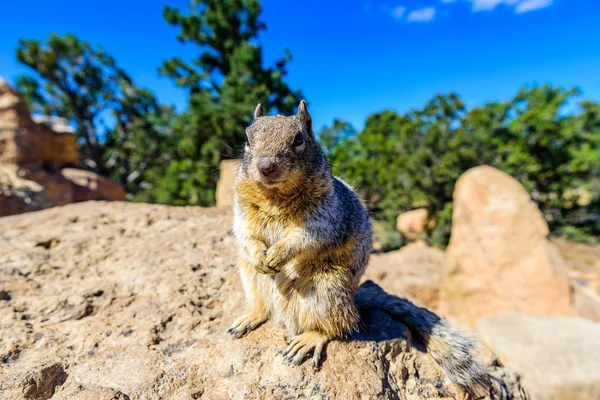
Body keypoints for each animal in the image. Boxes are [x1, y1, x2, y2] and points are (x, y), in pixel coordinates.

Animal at [227, 101, 490, 396]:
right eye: (247, 139)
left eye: (298, 139)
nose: (266, 166)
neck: (275, 195)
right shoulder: (243, 211)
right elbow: (245, 232)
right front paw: (260, 255)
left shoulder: (328, 215)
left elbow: (307, 237)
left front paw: (280, 254)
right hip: (252, 281)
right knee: (266, 309)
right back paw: (250, 317)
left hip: (326, 290)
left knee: (338, 326)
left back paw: (308, 339)